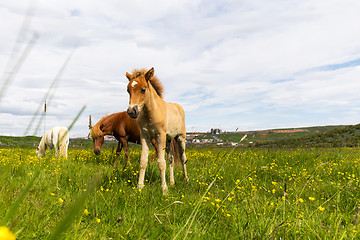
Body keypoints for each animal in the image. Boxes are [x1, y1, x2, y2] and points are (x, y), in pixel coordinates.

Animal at [126, 67, 188, 195]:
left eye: (143, 90)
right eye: (128, 90)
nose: (131, 111)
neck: (151, 112)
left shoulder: (160, 135)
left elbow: (161, 162)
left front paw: (164, 190)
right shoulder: (145, 136)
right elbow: (143, 161)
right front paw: (140, 187)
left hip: (180, 137)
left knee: (182, 157)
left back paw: (186, 179)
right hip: (169, 140)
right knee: (171, 158)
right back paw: (172, 182)